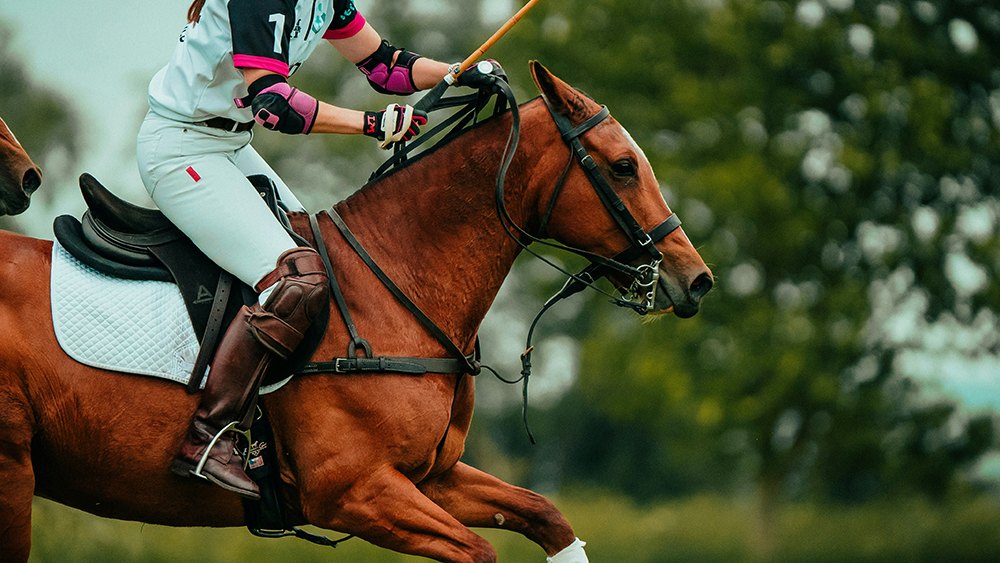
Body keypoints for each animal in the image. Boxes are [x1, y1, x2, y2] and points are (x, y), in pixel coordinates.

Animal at [3, 64, 716, 560]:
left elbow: (548, 514)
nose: (697, 279)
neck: (397, 282)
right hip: (13, 467)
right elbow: (479, 550)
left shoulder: (430, 476)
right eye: (623, 167)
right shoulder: (354, 492)